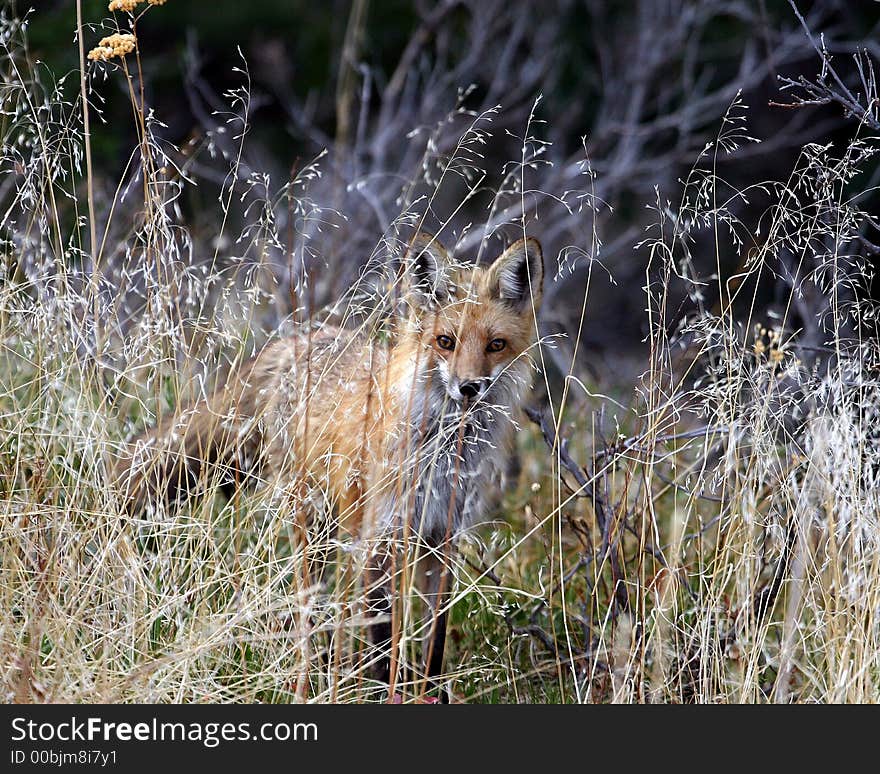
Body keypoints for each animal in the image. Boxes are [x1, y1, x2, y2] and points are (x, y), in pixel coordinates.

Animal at [115, 232, 544, 704]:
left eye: (495, 344)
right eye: (445, 341)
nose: (469, 387)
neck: (439, 452)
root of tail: (294, 342)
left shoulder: (441, 538)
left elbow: (435, 638)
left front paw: (427, 693)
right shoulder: (380, 538)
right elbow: (381, 641)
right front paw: (383, 694)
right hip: (313, 526)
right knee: (309, 618)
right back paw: (312, 679)